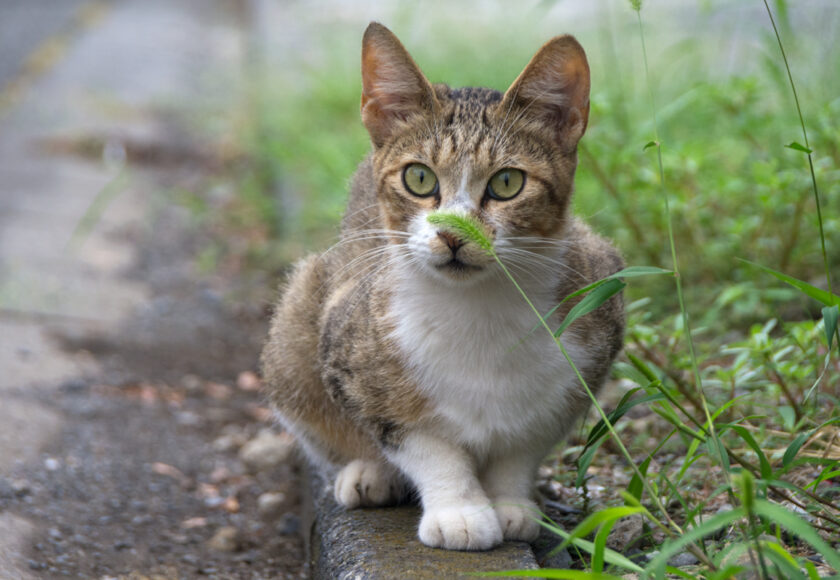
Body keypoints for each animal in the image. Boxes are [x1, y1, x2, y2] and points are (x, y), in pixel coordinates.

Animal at [262, 20, 624, 552]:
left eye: (508, 183)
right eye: (418, 177)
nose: (453, 235)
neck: (476, 309)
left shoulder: (586, 345)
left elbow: (522, 446)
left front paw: (512, 503)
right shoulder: (350, 352)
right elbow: (423, 443)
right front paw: (461, 510)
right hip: (295, 329)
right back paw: (370, 474)